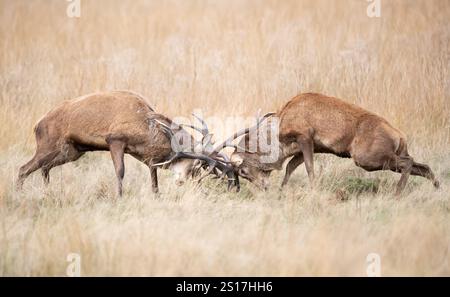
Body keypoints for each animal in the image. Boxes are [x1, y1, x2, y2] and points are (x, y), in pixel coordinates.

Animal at [15, 91, 237, 195]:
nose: (184, 182)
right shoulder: (115, 139)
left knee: (44, 168)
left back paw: (47, 192)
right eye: (196, 166)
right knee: (23, 168)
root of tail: (37, 125)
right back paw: (19, 194)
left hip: (72, 151)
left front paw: (156, 195)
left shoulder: (146, 157)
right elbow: (120, 171)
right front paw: (119, 197)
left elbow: (154, 178)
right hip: (48, 145)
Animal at [218, 92, 440, 194]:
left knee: (409, 163)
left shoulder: (305, 136)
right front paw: (282, 189)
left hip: (366, 158)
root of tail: (400, 136)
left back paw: (397, 192)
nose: (263, 187)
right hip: (391, 155)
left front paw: (314, 189)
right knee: (423, 166)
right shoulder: (308, 147)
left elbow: (308, 167)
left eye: (243, 171)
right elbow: (290, 167)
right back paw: (437, 187)